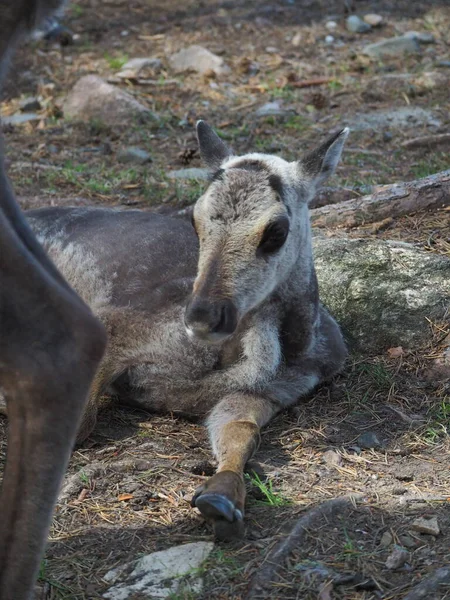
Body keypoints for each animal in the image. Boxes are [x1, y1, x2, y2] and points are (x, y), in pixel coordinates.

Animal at [24, 122, 350, 540]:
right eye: (195, 220)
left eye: (276, 231)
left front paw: (220, 501)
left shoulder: (268, 393)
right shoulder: (117, 320)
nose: (201, 317)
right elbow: (81, 421)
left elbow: (240, 431)